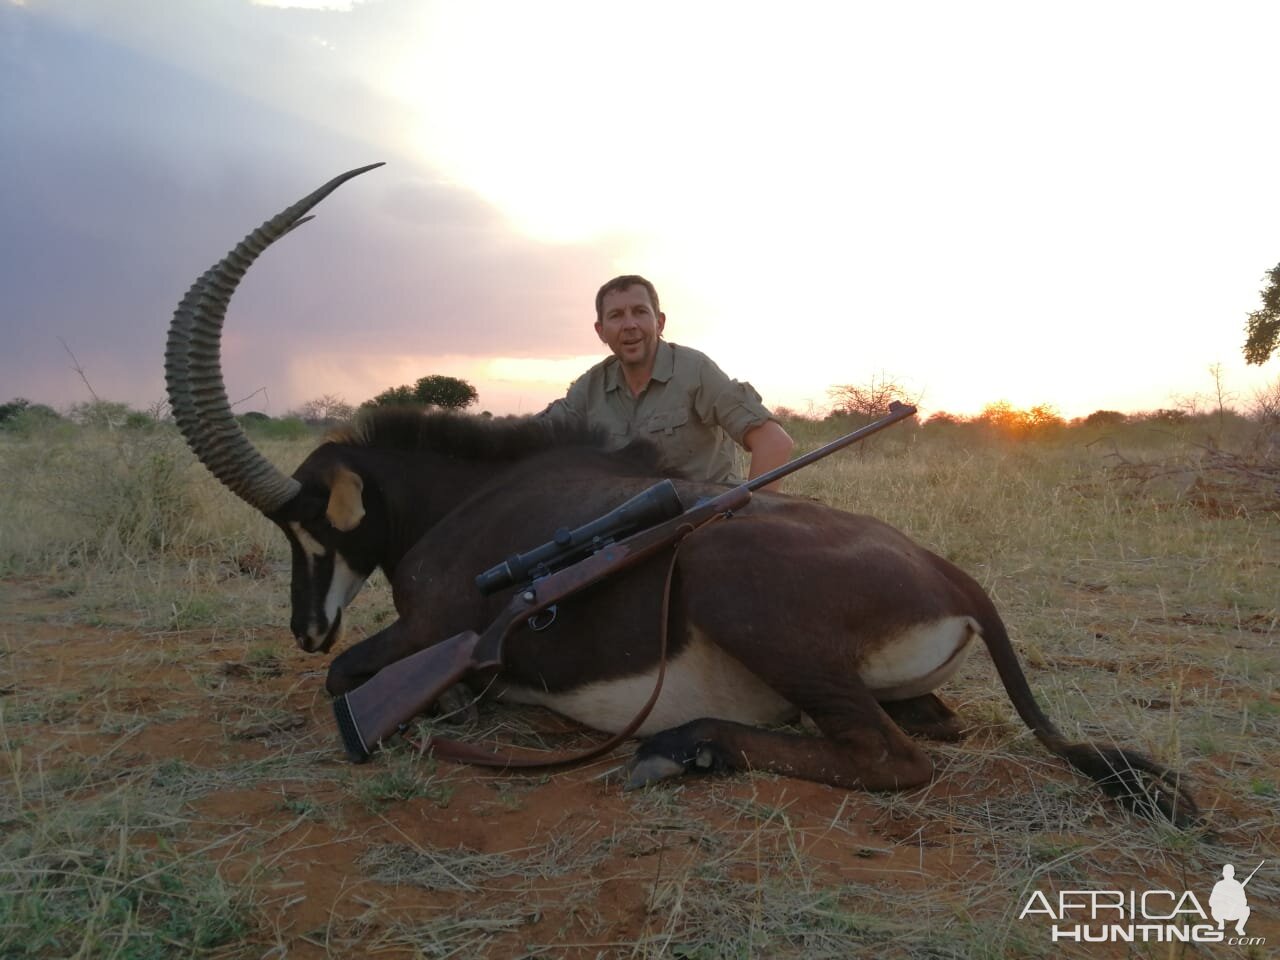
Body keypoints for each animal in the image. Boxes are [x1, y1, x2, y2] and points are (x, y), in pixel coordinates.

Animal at [165, 167, 1192, 829]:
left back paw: (679, 747)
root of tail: (953, 577)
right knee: (926, 727)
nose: (304, 627)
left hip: (727, 573)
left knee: (894, 758)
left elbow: (349, 682)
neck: (468, 496)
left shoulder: (435, 626)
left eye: (304, 520)